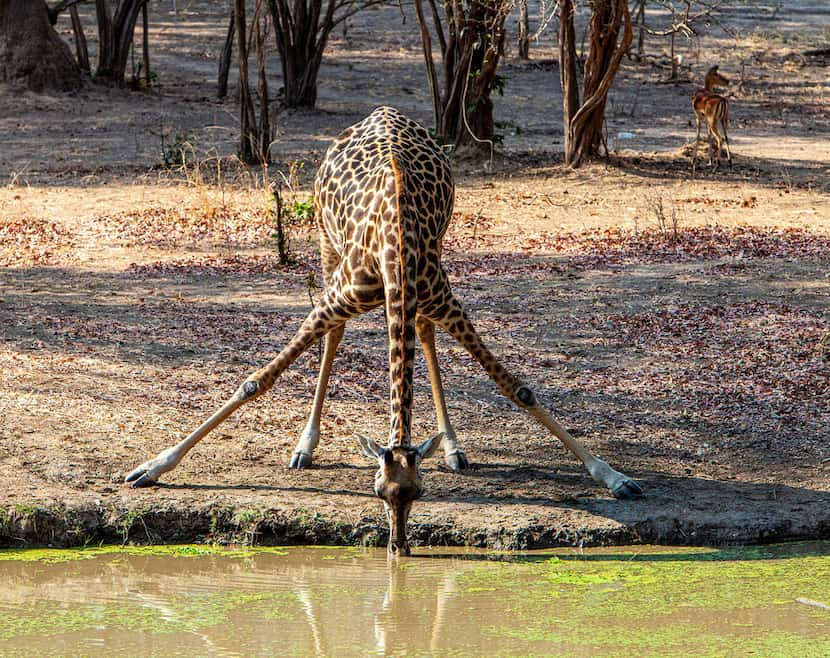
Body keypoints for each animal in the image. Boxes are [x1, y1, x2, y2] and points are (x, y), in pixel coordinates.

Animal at [127, 105, 644, 552]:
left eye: (418, 492)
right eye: (378, 491)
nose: (399, 546)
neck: (396, 246)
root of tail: (381, 111)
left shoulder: (437, 294)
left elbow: (518, 389)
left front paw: (615, 478)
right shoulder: (341, 295)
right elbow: (257, 380)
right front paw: (151, 468)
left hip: (435, 258)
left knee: (424, 333)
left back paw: (453, 447)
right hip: (326, 242)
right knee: (335, 335)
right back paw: (305, 447)